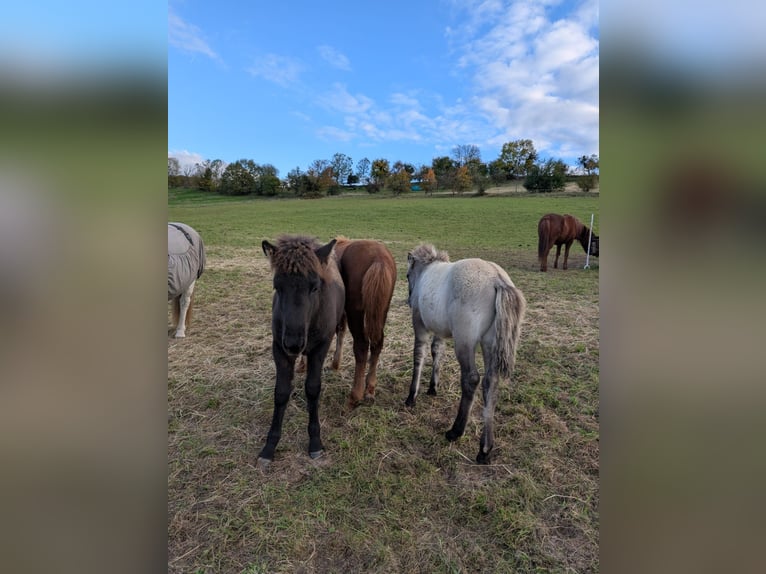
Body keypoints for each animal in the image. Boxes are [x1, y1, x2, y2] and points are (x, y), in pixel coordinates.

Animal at [258, 235, 345, 466]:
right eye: (277, 287)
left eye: (314, 287)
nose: (293, 343)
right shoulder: (279, 349)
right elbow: (281, 392)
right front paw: (269, 446)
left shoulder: (320, 348)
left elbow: (313, 389)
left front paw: (315, 441)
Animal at [331, 237, 397, 410]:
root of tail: (379, 259)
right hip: (381, 311)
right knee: (377, 344)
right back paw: (370, 389)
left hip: (357, 313)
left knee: (361, 345)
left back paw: (355, 396)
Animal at [405, 244, 527, 464]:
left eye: (407, 275)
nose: (409, 300)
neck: (427, 271)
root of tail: (496, 279)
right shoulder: (440, 331)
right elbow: (437, 352)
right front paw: (433, 388)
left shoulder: (420, 324)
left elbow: (419, 355)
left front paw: (412, 397)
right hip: (489, 343)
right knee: (490, 383)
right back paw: (485, 449)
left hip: (465, 341)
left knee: (471, 379)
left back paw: (455, 432)